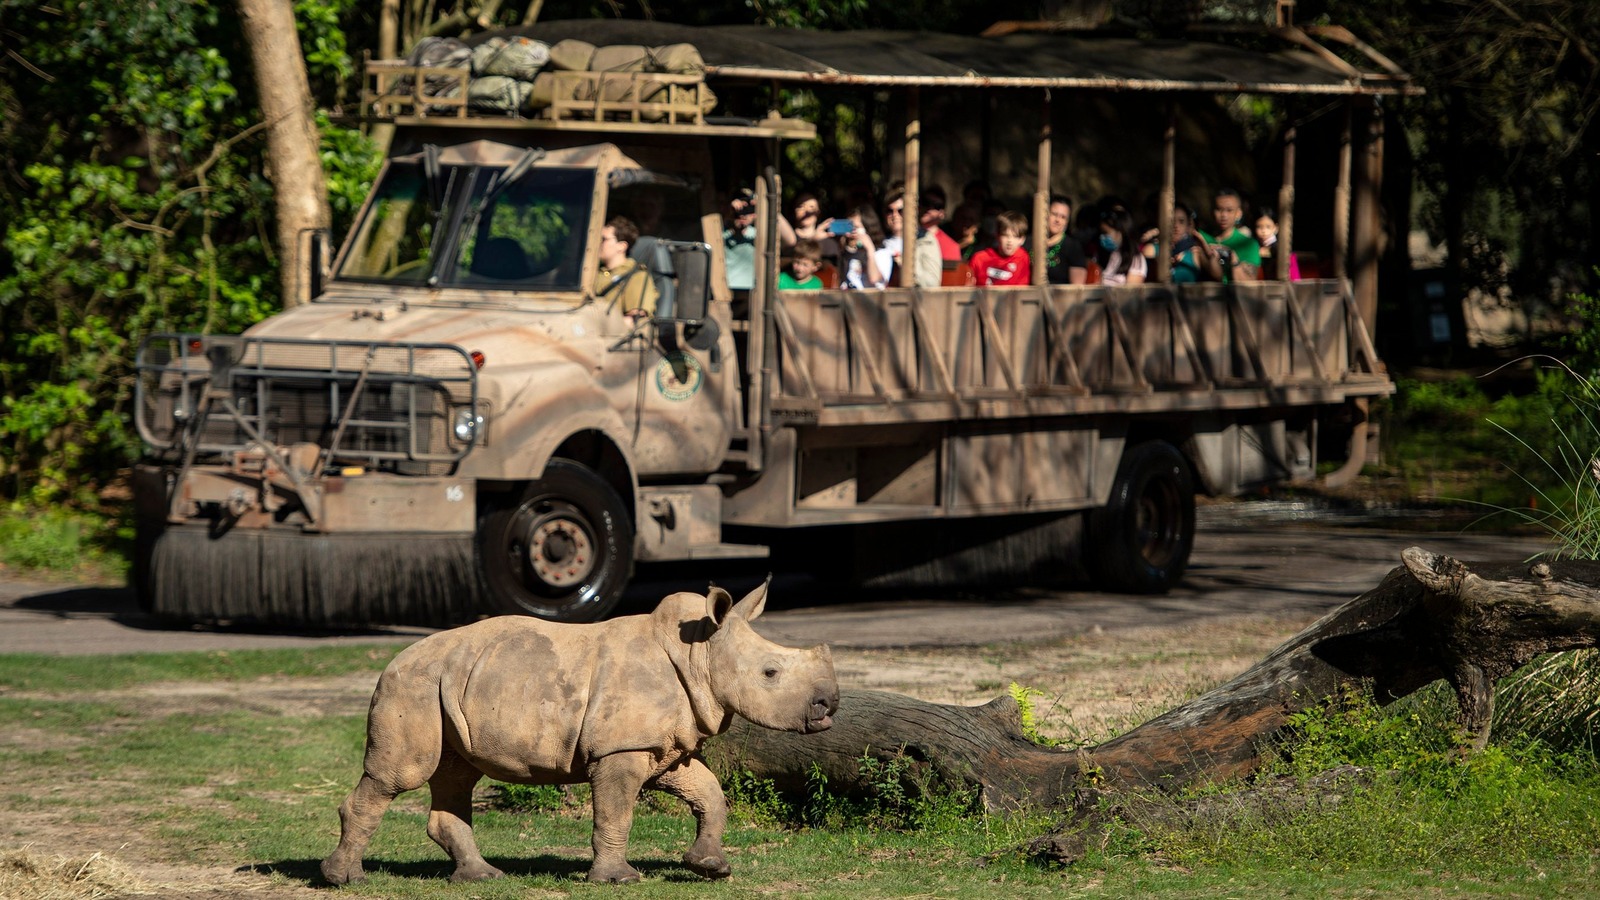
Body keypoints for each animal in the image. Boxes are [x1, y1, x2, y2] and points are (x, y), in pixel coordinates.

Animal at [321, 576, 838, 877]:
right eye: (770, 673)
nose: (829, 703)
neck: (700, 652)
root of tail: (393, 659)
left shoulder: (662, 745)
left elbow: (709, 794)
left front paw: (710, 866)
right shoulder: (620, 749)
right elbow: (616, 812)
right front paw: (618, 878)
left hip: (450, 684)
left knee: (456, 774)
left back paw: (482, 877)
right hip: (414, 685)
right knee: (401, 775)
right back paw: (343, 878)